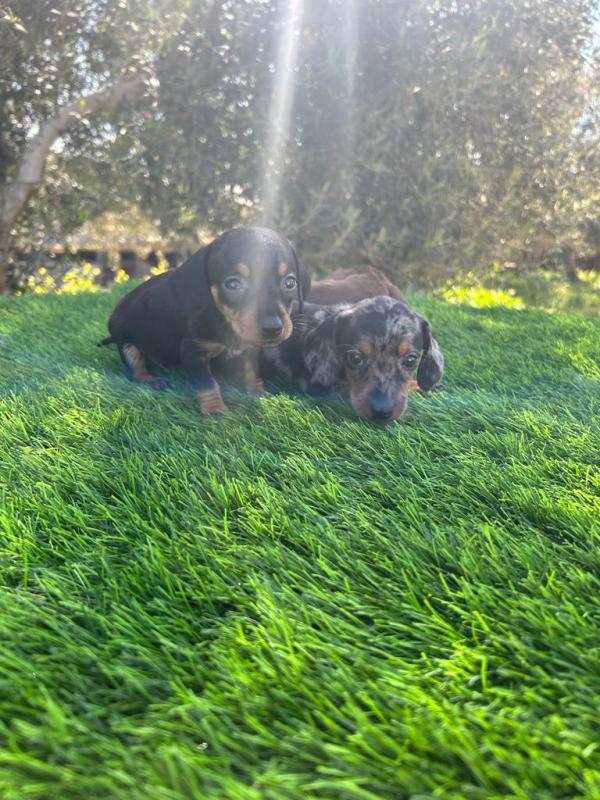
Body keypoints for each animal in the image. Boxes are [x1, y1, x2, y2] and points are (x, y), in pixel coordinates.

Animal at [99, 226, 310, 415]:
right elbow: (207, 384)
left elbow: (252, 370)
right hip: (125, 341)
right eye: (233, 284)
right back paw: (150, 379)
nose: (273, 328)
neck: (225, 321)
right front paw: (215, 409)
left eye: (290, 283)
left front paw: (258, 391)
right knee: (135, 368)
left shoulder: (249, 347)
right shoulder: (193, 351)